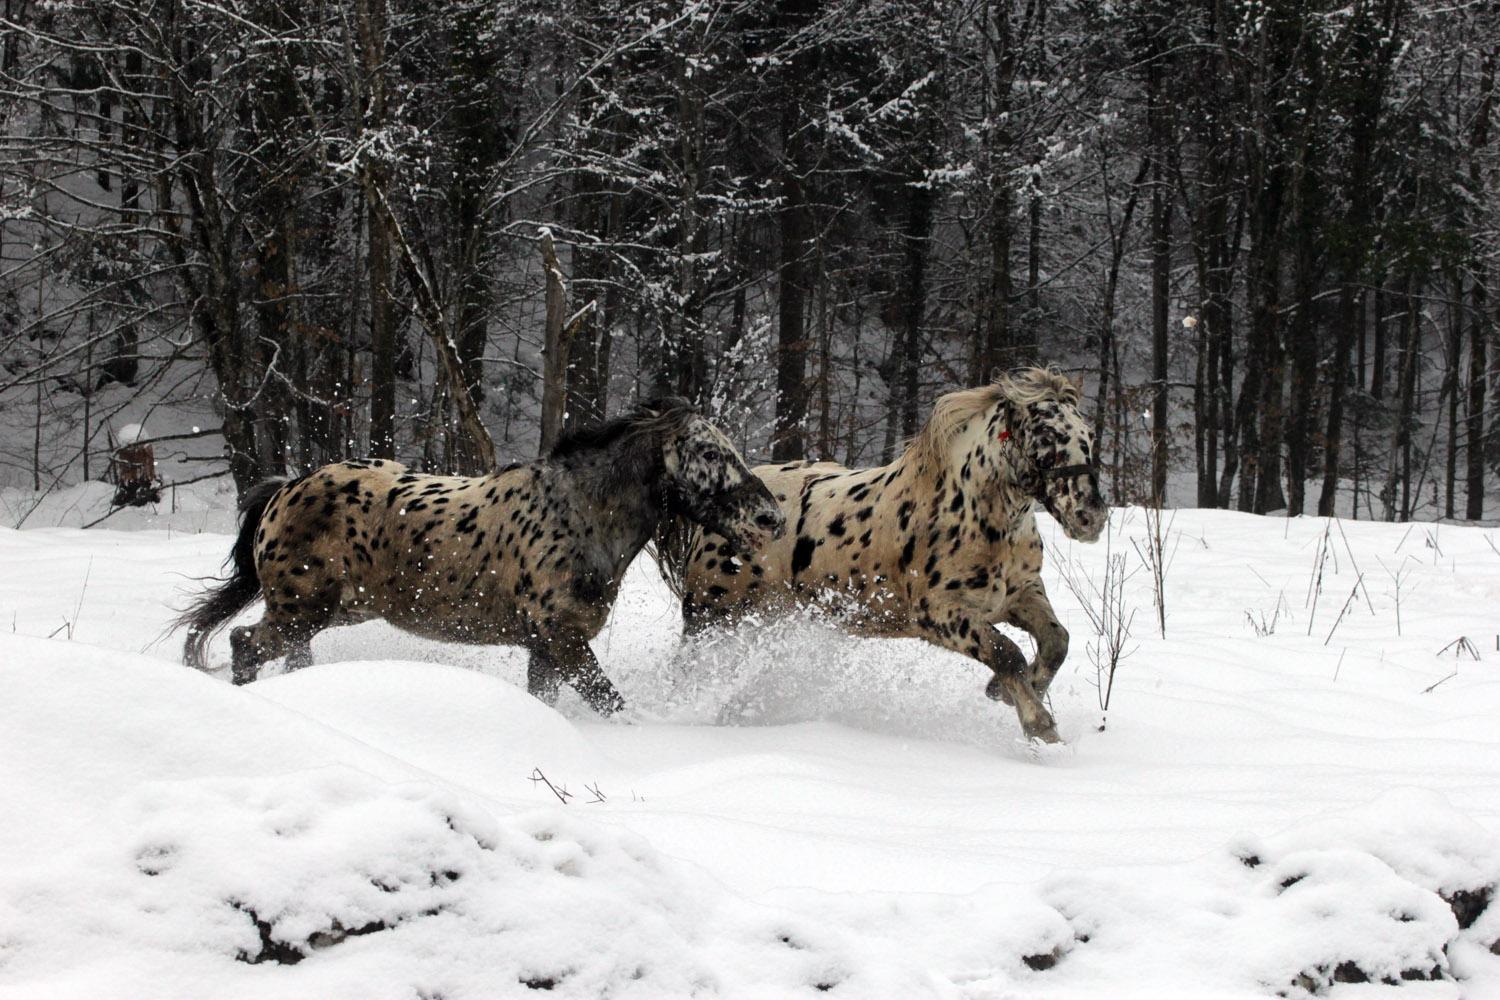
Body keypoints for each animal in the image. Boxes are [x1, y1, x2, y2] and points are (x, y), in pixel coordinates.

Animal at [175, 395, 786, 716]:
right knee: (244, 644)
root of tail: (286, 488)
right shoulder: (564, 642)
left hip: (327, 611)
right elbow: (612, 704)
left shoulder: (546, 649)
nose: (772, 519)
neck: (577, 515)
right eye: (710, 453)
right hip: (301, 608)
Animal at [663, 367, 1110, 743]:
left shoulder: (1019, 595)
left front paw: (1003, 692)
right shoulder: (939, 615)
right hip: (711, 618)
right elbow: (1006, 652)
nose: (1091, 517)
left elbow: (1057, 641)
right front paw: (1039, 724)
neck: (976, 517)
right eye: (1046, 434)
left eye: (1088, 435)